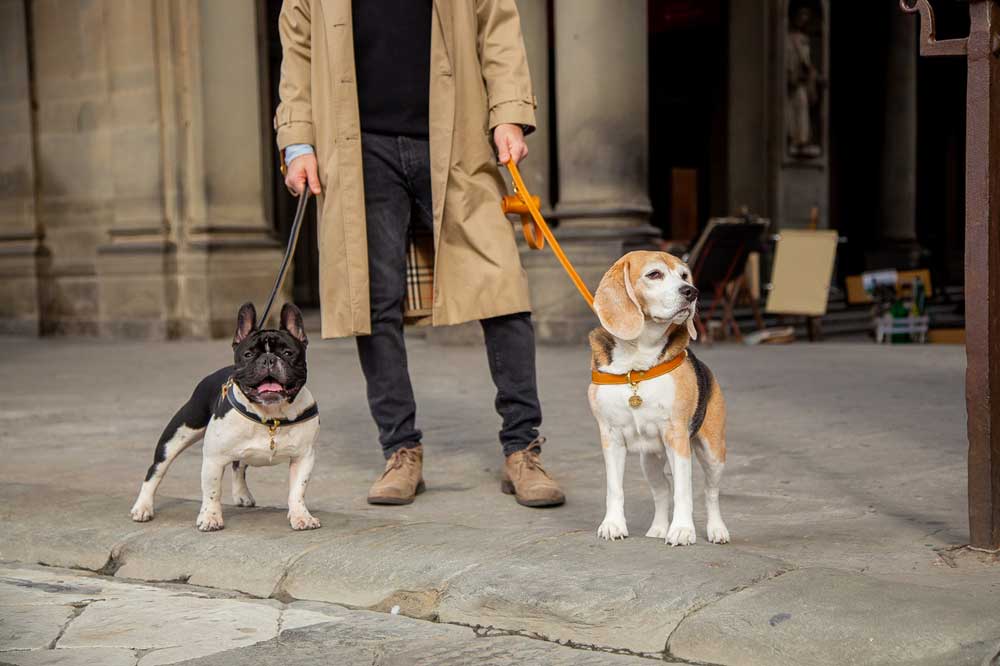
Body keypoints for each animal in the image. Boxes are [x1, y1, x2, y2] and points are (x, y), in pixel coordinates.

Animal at [129, 302, 322, 528]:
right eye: (248, 355)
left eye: (288, 352)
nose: (268, 359)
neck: (270, 416)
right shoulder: (214, 458)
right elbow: (212, 490)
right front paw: (210, 517)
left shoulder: (303, 457)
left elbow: (297, 491)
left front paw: (301, 516)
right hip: (176, 436)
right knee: (155, 472)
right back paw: (143, 507)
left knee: (239, 465)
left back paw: (242, 495)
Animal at [588, 249, 732, 544]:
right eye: (654, 274)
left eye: (684, 275)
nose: (692, 292)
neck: (636, 365)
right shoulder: (610, 437)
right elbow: (614, 488)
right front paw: (613, 524)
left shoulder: (676, 435)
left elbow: (684, 491)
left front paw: (682, 530)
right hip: (650, 458)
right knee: (663, 487)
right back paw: (658, 528)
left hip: (713, 452)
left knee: (709, 492)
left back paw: (716, 529)